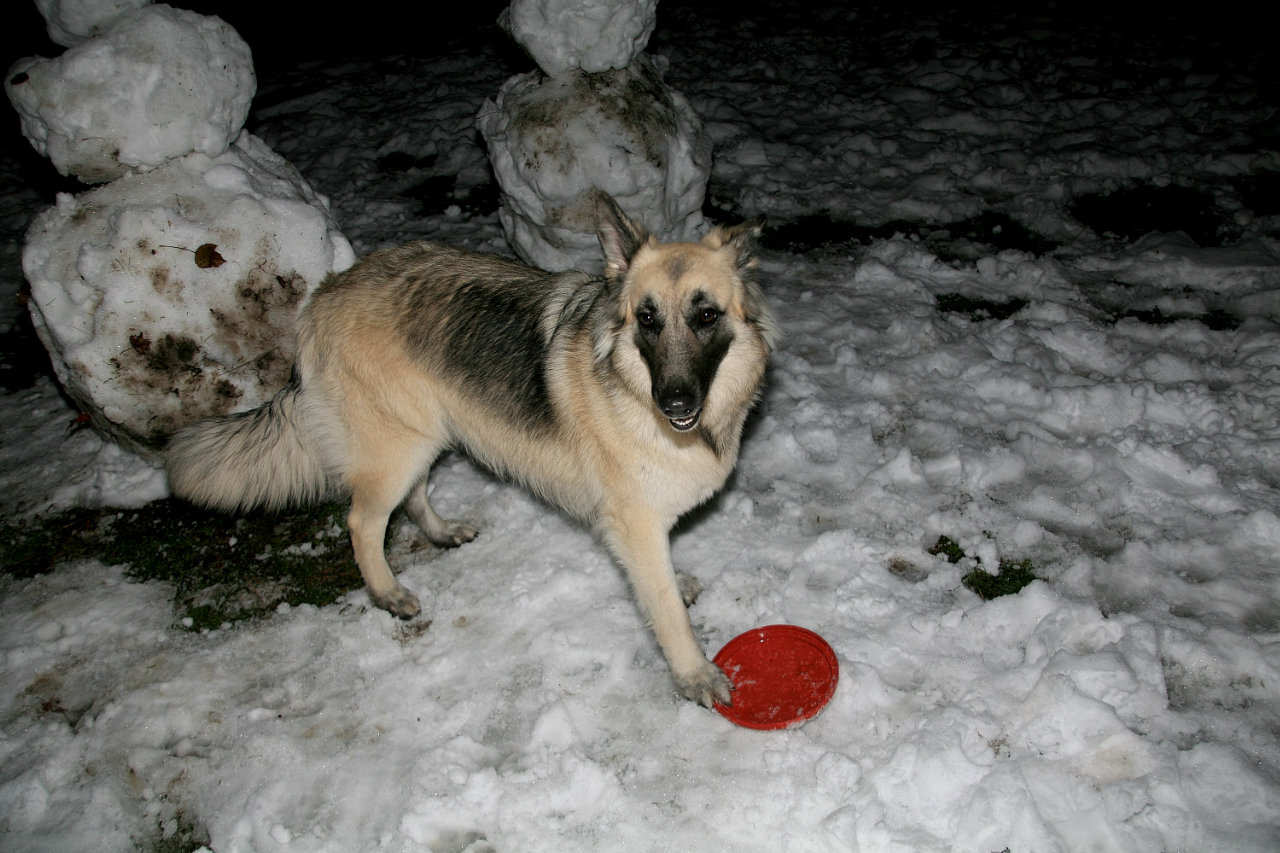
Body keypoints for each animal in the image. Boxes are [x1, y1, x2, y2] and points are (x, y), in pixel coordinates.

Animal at [166, 193, 777, 707]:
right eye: (646, 318)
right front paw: (694, 674)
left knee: (412, 496)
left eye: (705, 315)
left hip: (425, 433)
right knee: (362, 521)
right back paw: (388, 593)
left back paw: (439, 532)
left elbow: (665, 579)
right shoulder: (635, 522)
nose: (673, 400)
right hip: (397, 448)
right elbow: (666, 610)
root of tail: (324, 294)